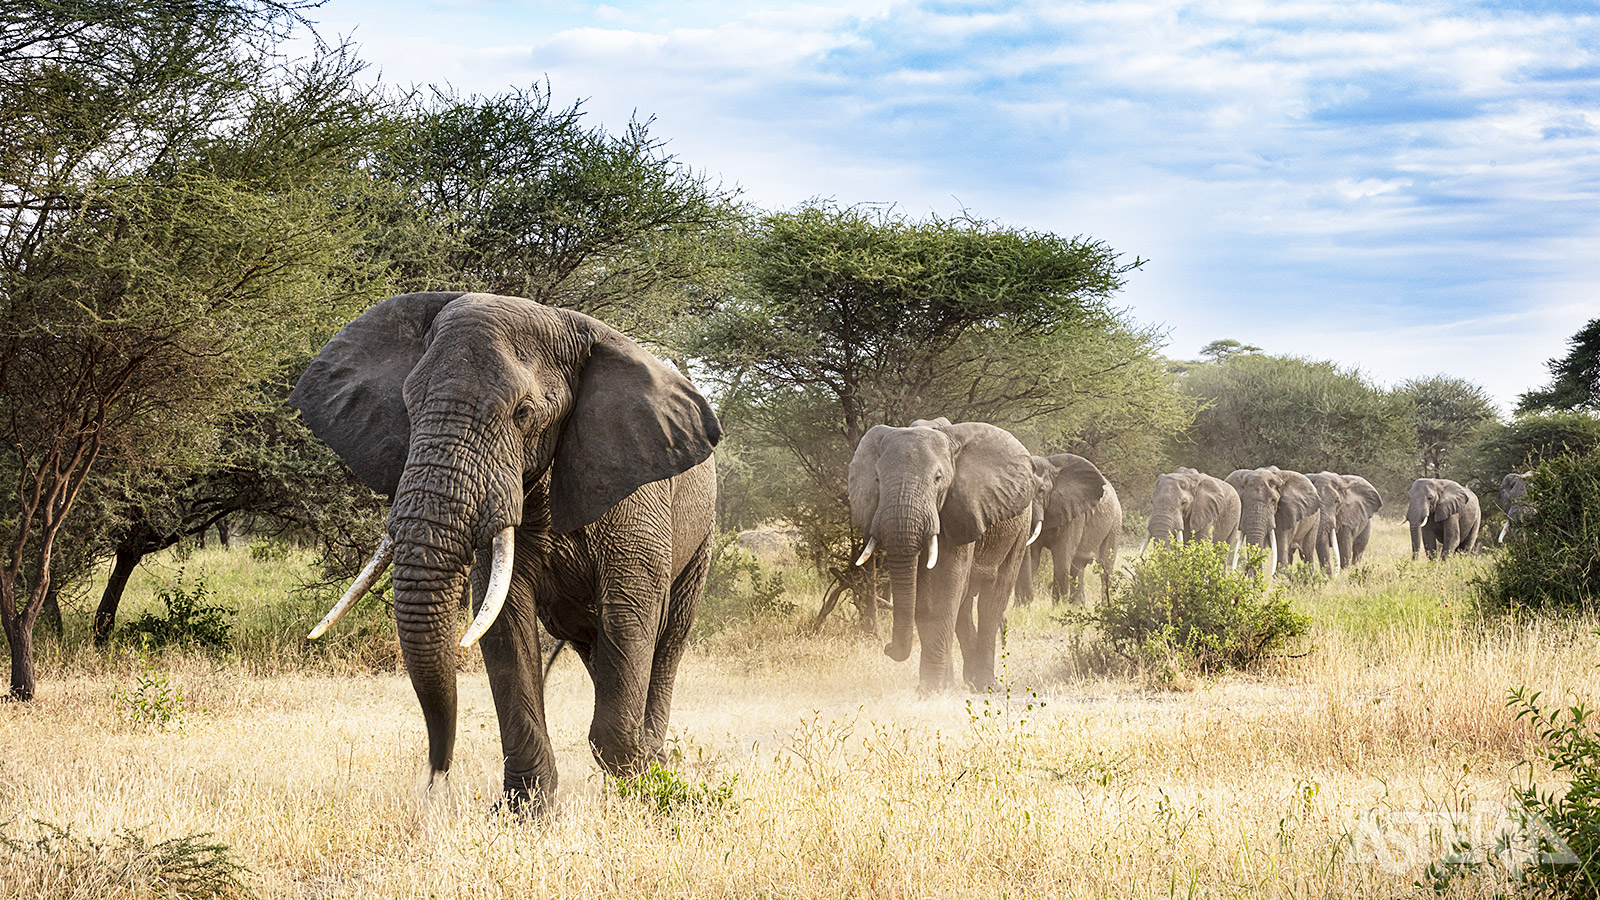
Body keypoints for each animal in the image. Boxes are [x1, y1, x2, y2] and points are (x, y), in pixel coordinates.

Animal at [288, 291, 720, 810]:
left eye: (524, 414)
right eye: (408, 407)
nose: (435, 776)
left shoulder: (637, 494)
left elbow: (629, 611)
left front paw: (641, 793)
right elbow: (504, 622)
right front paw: (523, 812)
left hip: (703, 535)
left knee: (668, 637)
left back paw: (656, 762)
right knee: (594, 645)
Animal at [851, 416, 1036, 688]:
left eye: (938, 478)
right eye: (877, 479)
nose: (887, 647)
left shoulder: (961, 508)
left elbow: (946, 585)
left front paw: (932, 689)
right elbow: (924, 599)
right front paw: (938, 686)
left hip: (1021, 525)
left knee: (992, 601)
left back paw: (984, 685)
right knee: (964, 606)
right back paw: (967, 681)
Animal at [1011, 454, 1126, 602]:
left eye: (1041, 491)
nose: (1030, 598)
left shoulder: (1074, 514)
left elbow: (1062, 557)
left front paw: (1058, 605)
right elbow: (1033, 557)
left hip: (1115, 523)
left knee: (1105, 568)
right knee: (1078, 566)